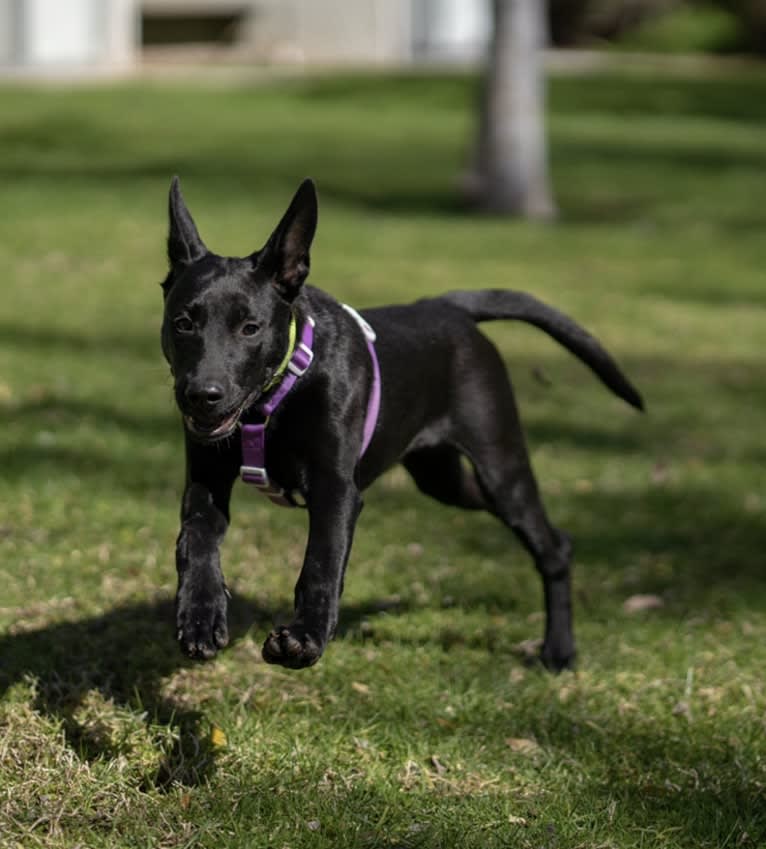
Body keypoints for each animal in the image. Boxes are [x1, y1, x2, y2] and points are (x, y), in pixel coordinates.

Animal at [164, 177, 648, 668]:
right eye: (182, 322)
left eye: (250, 328)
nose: (202, 395)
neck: (276, 398)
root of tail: (447, 306)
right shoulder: (206, 478)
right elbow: (196, 538)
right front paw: (200, 615)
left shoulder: (336, 489)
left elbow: (322, 561)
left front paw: (305, 639)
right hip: (443, 479)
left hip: (500, 465)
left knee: (550, 545)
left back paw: (559, 649)